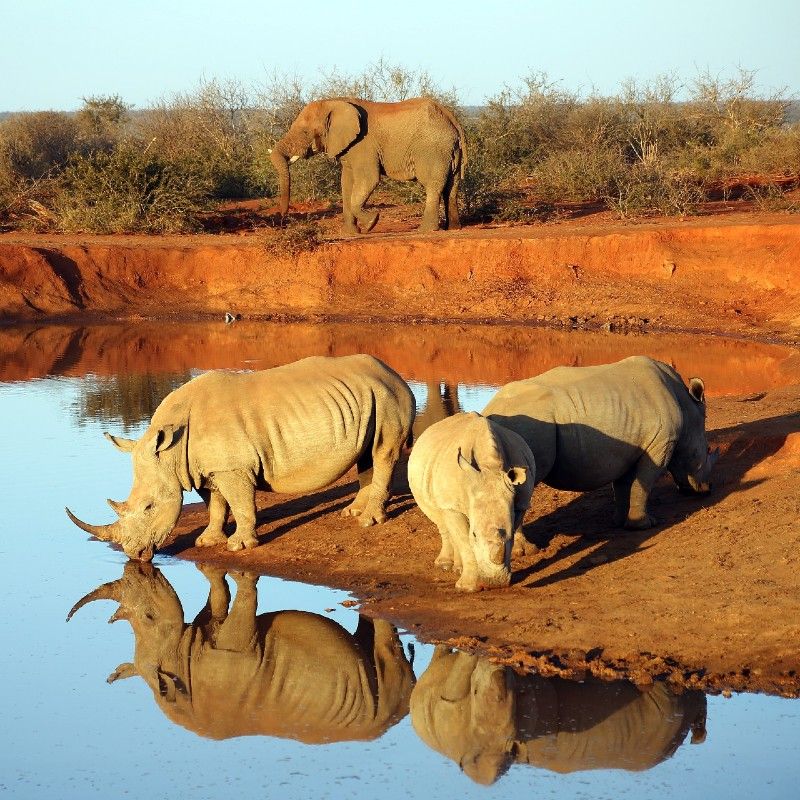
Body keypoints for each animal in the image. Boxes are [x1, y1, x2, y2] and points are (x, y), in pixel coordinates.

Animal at [66, 354, 415, 561]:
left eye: (149, 506)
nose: (134, 554)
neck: (172, 449)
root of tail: (394, 373)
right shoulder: (207, 469)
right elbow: (217, 505)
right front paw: (208, 542)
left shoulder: (233, 468)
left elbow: (241, 503)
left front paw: (240, 545)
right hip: (370, 395)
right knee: (367, 453)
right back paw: (352, 512)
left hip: (388, 396)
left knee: (382, 452)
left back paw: (369, 521)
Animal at [67, 563, 415, 744]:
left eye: (150, 616)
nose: (138, 566)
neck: (178, 659)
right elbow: (216, 603)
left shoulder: (241, 646)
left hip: (386, 707)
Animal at [408, 412, 535, 591]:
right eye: (474, 534)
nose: (494, 584)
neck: (490, 468)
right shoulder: (451, 505)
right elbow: (464, 540)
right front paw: (468, 587)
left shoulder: (517, 502)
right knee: (440, 519)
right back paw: (446, 565)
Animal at [483, 356, 719, 530]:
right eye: (705, 451)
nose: (707, 489)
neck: (687, 408)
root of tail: (490, 411)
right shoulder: (660, 444)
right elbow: (644, 481)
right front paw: (645, 525)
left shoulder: (629, 446)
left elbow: (624, 485)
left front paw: (621, 523)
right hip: (526, 425)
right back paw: (530, 549)